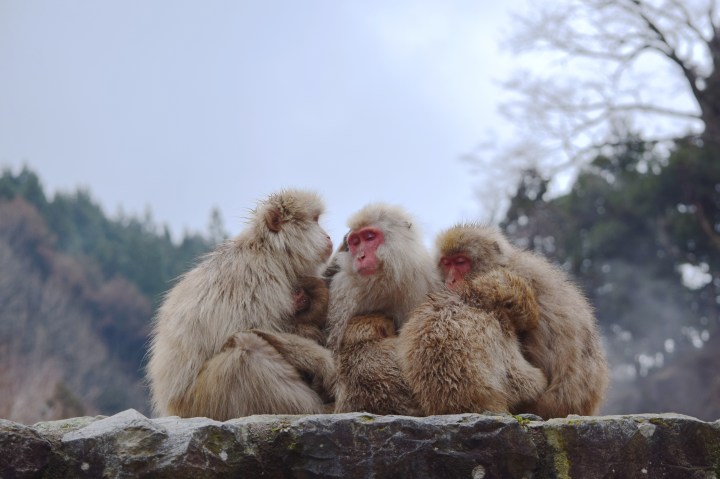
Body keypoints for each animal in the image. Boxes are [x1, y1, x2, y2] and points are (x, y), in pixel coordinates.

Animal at [146, 189, 337, 421]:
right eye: (315, 220)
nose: (328, 237)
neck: (269, 251)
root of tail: (170, 407)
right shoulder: (259, 280)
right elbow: (252, 329)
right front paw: (323, 362)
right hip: (203, 401)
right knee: (246, 351)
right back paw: (315, 409)